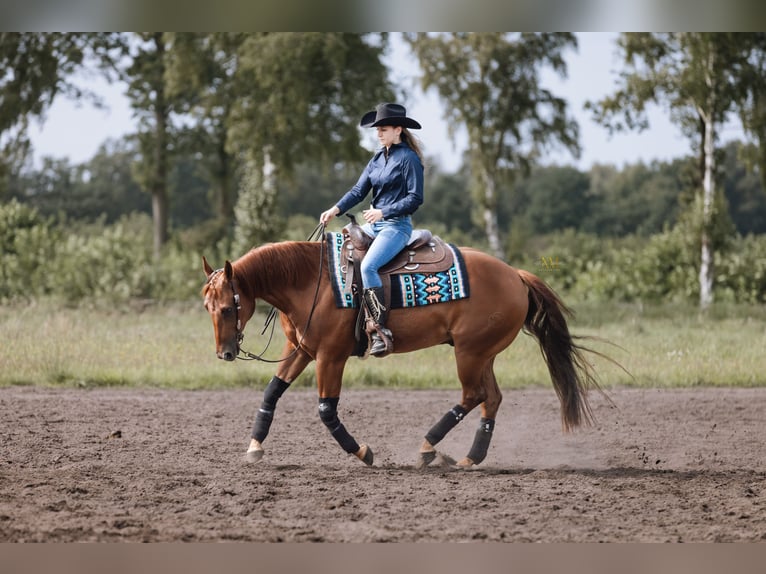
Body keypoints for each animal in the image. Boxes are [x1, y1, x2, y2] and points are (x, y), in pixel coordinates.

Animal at [202, 236, 608, 470]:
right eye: (207, 307)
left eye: (226, 308)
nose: (224, 353)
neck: (310, 282)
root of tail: (515, 276)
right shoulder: (300, 349)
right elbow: (271, 392)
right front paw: (254, 446)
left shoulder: (331, 356)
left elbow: (326, 410)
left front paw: (363, 453)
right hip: (483, 354)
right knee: (490, 397)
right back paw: (470, 457)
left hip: (470, 353)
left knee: (473, 395)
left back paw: (429, 448)